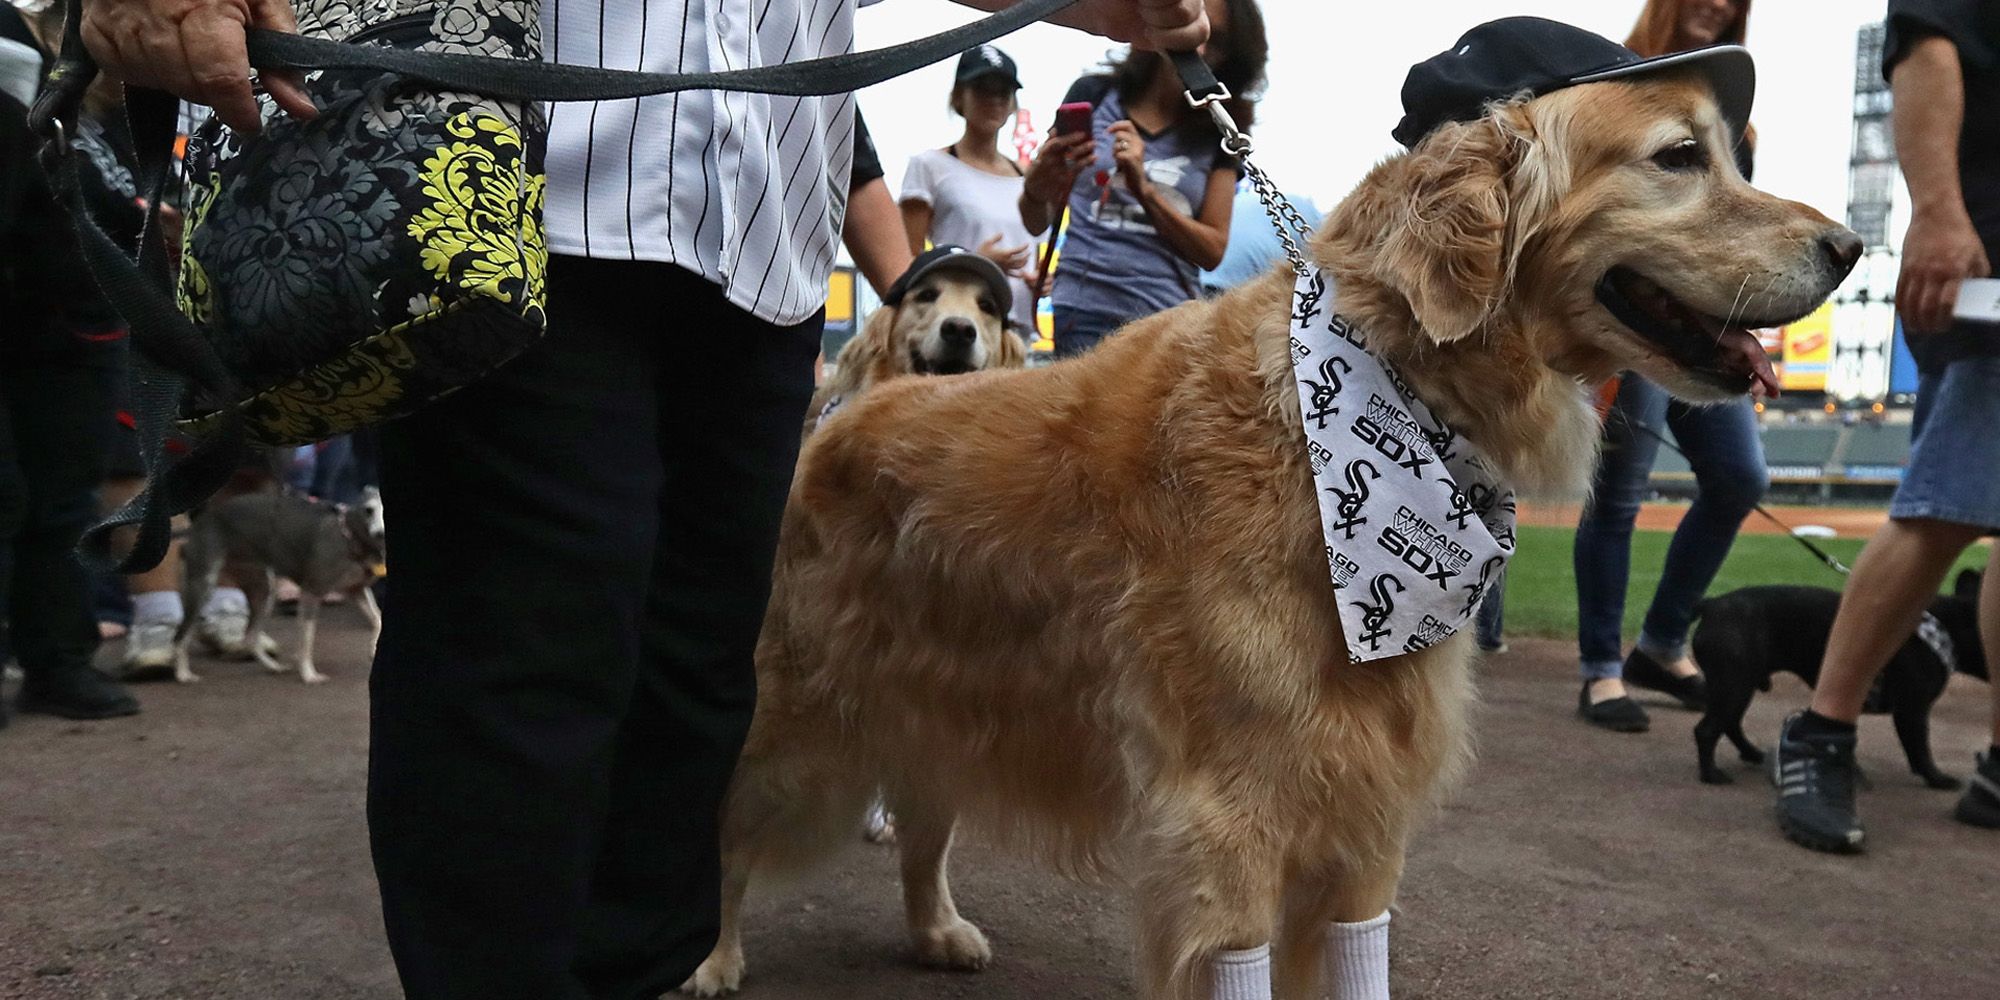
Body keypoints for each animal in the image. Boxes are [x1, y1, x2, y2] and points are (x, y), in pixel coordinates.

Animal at [176, 488, 390, 684]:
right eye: (369, 510)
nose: (380, 534)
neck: (350, 537)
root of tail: (201, 521)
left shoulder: (357, 590)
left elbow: (377, 618)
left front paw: (373, 648)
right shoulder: (311, 592)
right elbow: (306, 639)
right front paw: (308, 674)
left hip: (262, 590)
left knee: (250, 636)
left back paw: (273, 666)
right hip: (203, 587)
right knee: (182, 634)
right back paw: (182, 674)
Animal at [1688, 576, 1984, 784]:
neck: (1948, 626)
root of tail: (1711, 604)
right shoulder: (1913, 709)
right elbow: (1920, 747)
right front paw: (1937, 778)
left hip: (1739, 687)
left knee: (1731, 723)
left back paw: (1752, 754)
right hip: (1734, 685)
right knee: (1708, 729)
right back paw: (1711, 775)